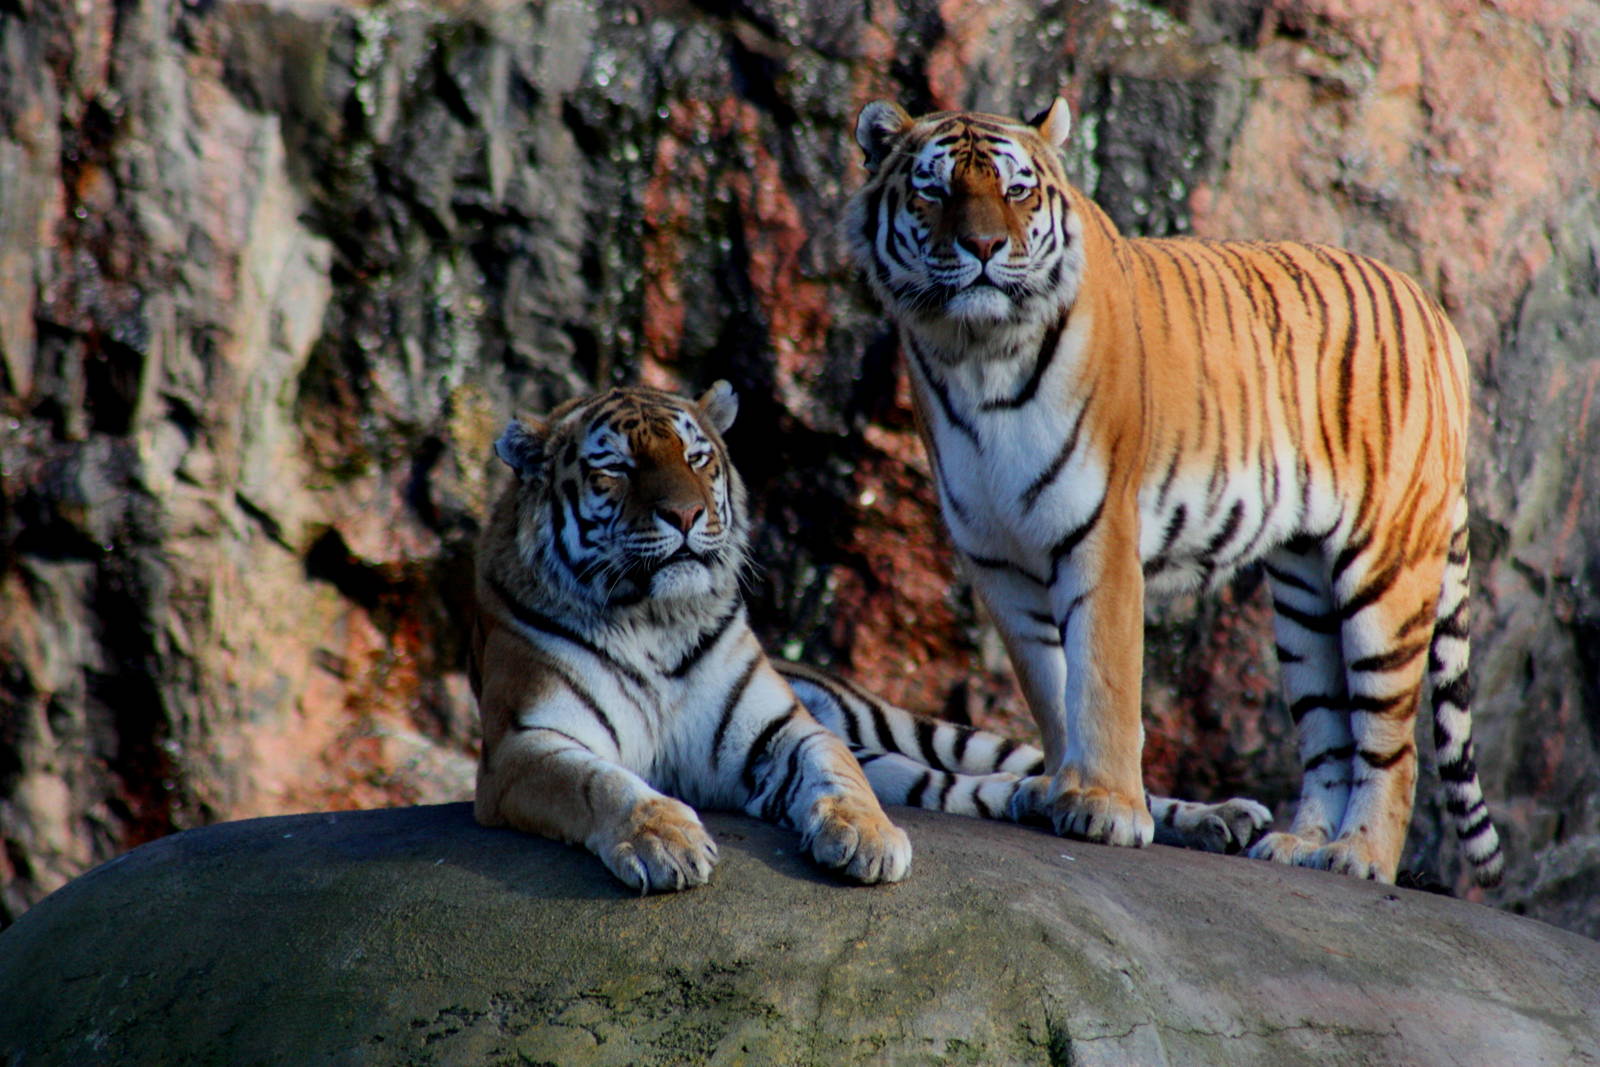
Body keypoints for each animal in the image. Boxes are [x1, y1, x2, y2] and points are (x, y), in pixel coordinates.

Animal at [471, 382, 1270, 892]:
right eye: (615, 469)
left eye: (697, 458)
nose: (687, 516)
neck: (654, 621)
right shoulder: (523, 747)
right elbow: (600, 782)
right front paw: (663, 839)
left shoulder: (783, 730)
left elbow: (837, 773)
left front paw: (868, 838)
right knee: (973, 787)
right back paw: (1036, 803)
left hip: (915, 729)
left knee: (1089, 773)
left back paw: (1215, 816)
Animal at [844, 97, 1505, 887]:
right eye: (935, 191)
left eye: (1017, 191)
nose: (981, 246)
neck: (976, 353)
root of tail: (1436, 315)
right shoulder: (996, 558)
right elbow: (1051, 684)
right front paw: (1059, 788)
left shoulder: (1099, 532)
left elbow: (1102, 677)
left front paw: (1105, 806)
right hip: (1305, 594)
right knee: (1330, 731)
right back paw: (1300, 843)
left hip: (1386, 571)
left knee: (1392, 744)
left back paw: (1358, 856)